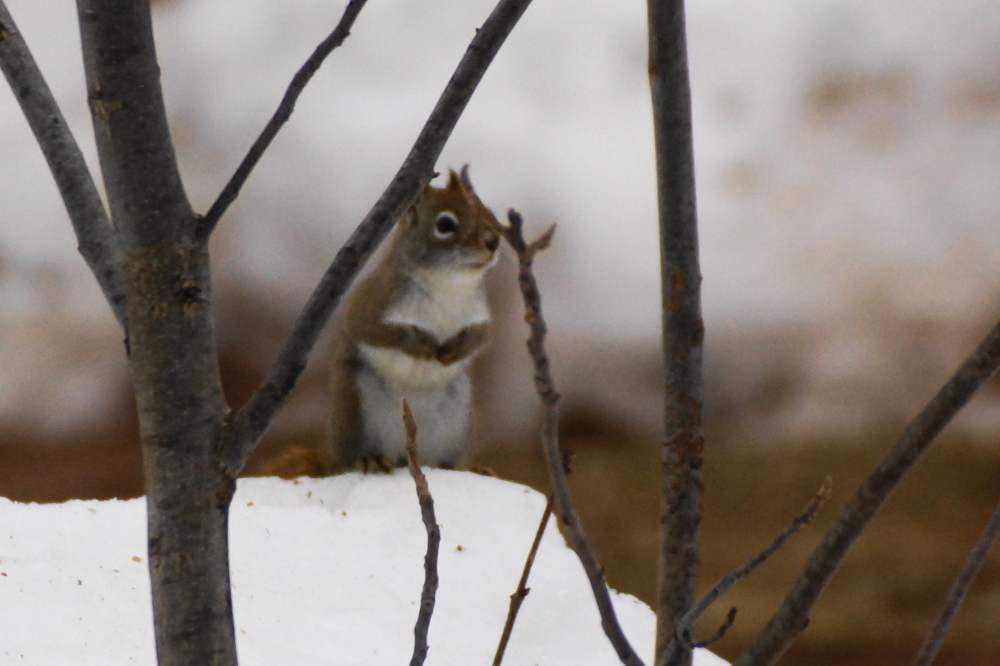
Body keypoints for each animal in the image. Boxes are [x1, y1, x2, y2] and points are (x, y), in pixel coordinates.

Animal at [264, 167, 501, 478]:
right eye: (445, 224)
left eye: (490, 213)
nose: (494, 242)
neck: (447, 285)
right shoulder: (371, 304)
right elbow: (379, 332)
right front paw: (422, 344)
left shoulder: (479, 315)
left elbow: (482, 336)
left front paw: (456, 348)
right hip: (355, 406)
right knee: (352, 458)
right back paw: (370, 460)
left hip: (457, 418)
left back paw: (458, 467)